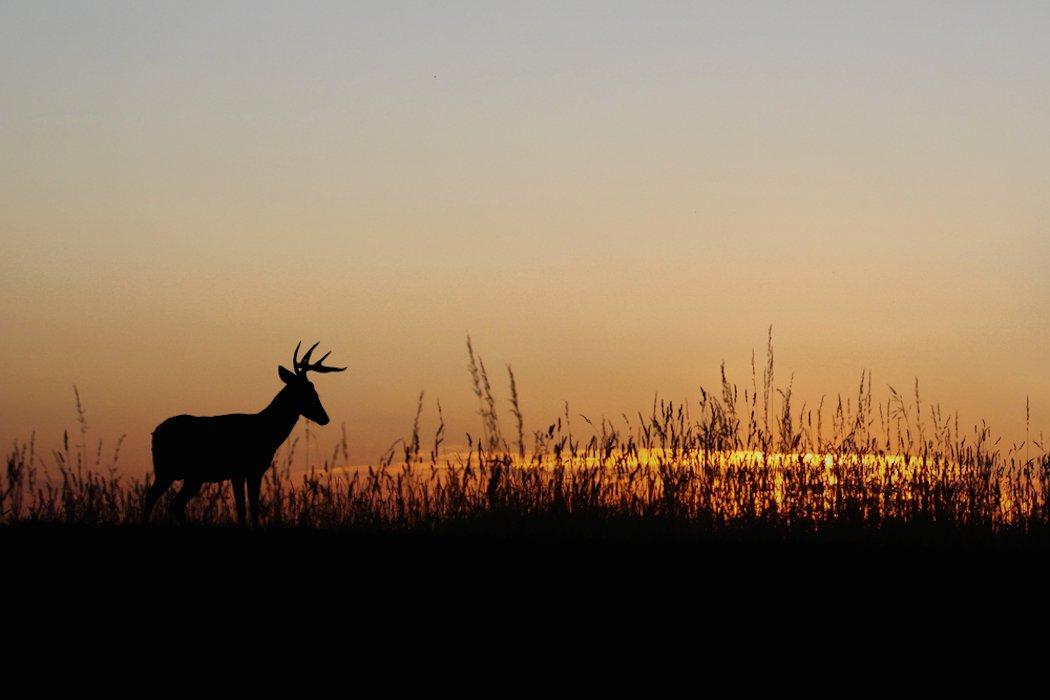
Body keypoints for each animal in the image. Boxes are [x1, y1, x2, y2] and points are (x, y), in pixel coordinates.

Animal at [143, 342, 346, 528]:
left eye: (314, 389)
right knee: (154, 496)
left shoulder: (247, 472)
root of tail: (155, 433)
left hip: (188, 475)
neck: (266, 430)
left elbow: (248, 508)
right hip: (169, 470)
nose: (325, 418)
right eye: (306, 391)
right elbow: (247, 509)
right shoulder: (246, 470)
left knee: (173, 502)